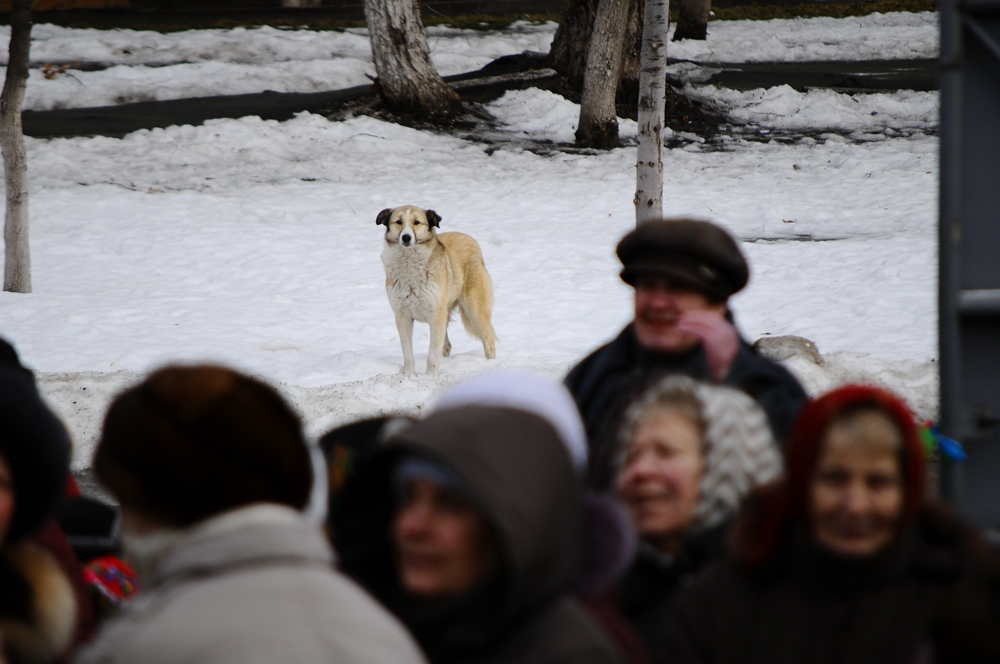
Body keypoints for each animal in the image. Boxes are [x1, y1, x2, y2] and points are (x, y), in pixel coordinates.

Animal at [376, 205, 498, 376]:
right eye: (398, 222)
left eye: (417, 222)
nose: (406, 237)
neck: (410, 266)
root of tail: (471, 239)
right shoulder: (403, 317)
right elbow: (408, 354)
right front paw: (409, 375)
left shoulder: (436, 316)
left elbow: (432, 355)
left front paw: (430, 377)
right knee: (447, 345)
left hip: (475, 311)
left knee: (489, 339)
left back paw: (491, 364)